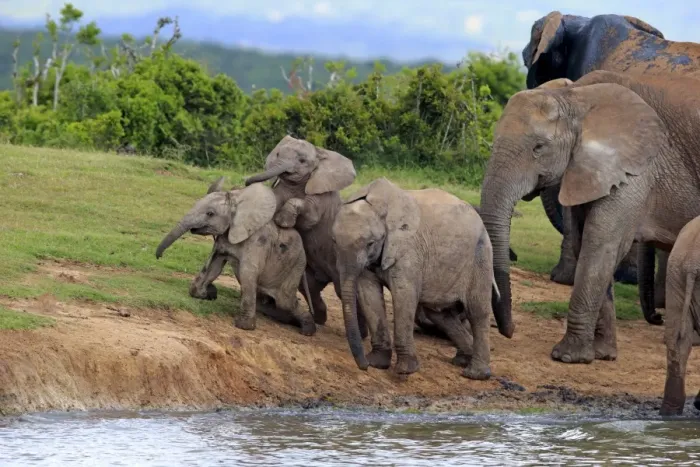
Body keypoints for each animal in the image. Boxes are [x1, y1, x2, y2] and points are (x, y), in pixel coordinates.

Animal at [155, 179, 316, 335]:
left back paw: (307, 331)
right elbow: (213, 266)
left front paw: (244, 326)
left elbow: (247, 274)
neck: (238, 204)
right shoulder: (223, 241)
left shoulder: (257, 242)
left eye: (210, 213)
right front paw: (206, 294)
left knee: (285, 301)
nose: (158, 256)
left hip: (295, 265)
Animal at [332, 177, 498, 380]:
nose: (363, 366)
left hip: (481, 257)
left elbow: (404, 295)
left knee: (477, 312)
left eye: (370, 243)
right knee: (441, 315)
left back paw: (475, 374)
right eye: (333, 242)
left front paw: (405, 370)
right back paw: (462, 360)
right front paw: (377, 363)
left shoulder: (408, 249)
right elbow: (368, 293)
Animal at [480, 69, 700, 364]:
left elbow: (600, 244)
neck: (575, 98)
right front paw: (601, 355)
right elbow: (585, 242)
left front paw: (567, 357)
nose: (509, 331)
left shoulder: (636, 169)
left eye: (539, 147)